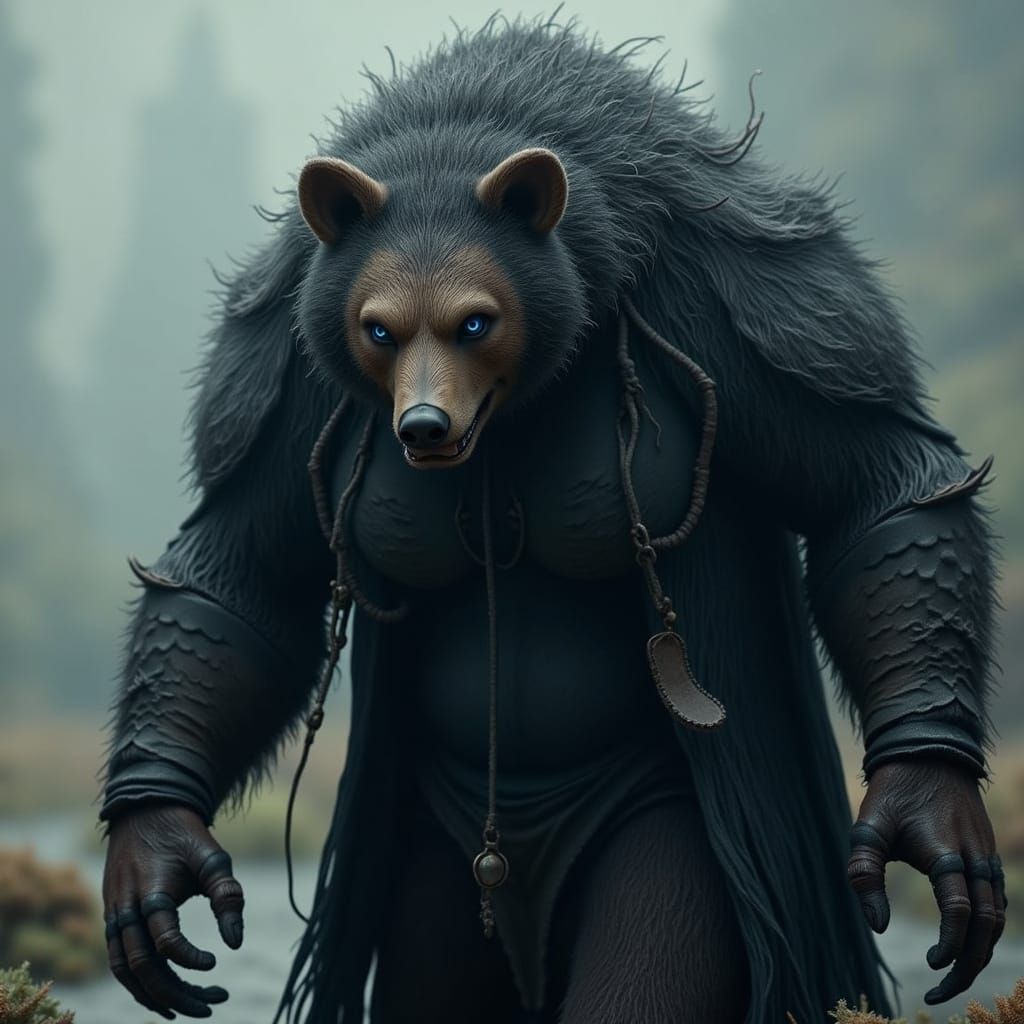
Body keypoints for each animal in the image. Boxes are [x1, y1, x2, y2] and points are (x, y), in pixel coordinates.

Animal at [98, 11, 1003, 1024]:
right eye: (379, 330)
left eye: (475, 322)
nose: (422, 426)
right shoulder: (278, 370)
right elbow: (240, 572)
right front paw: (156, 847)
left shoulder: (757, 304)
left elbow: (876, 487)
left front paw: (923, 802)